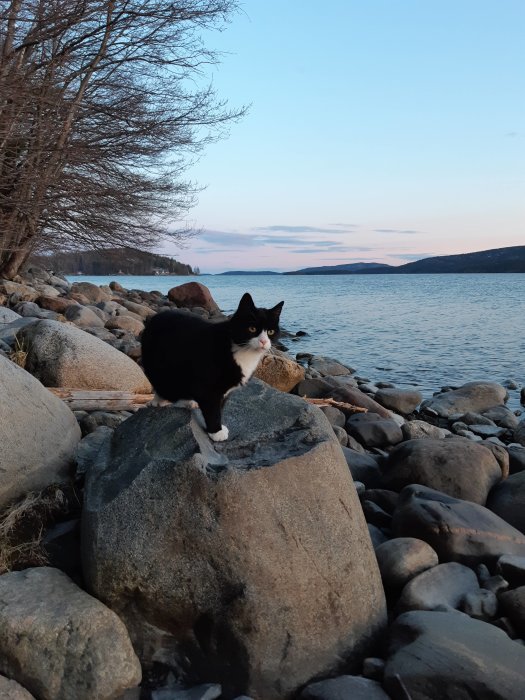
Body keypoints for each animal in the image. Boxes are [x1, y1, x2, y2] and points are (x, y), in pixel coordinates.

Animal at [140, 292, 282, 440]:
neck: (241, 351)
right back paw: (159, 400)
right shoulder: (206, 386)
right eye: (252, 328)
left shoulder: (223, 391)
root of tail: (156, 316)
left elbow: (218, 407)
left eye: (271, 332)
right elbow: (212, 409)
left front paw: (212, 426)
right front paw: (216, 432)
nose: (264, 341)